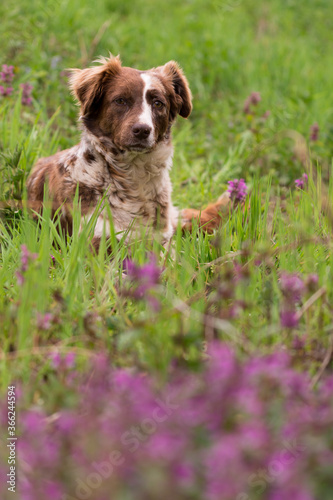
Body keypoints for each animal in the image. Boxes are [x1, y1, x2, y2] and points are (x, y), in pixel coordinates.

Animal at [26, 54, 228, 250]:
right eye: (120, 100)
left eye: (158, 103)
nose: (142, 130)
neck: (134, 176)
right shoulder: (94, 242)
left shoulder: (163, 240)